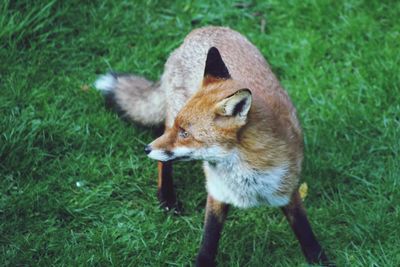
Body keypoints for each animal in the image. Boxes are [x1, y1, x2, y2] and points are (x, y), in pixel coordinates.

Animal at [94, 26, 332, 266]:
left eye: (185, 133)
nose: (146, 149)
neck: (247, 175)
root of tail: (197, 32)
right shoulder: (217, 193)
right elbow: (209, 241)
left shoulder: (288, 190)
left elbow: (305, 232)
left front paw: (319, 259)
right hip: (170, 116)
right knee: (164, 162)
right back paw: (167, 199)